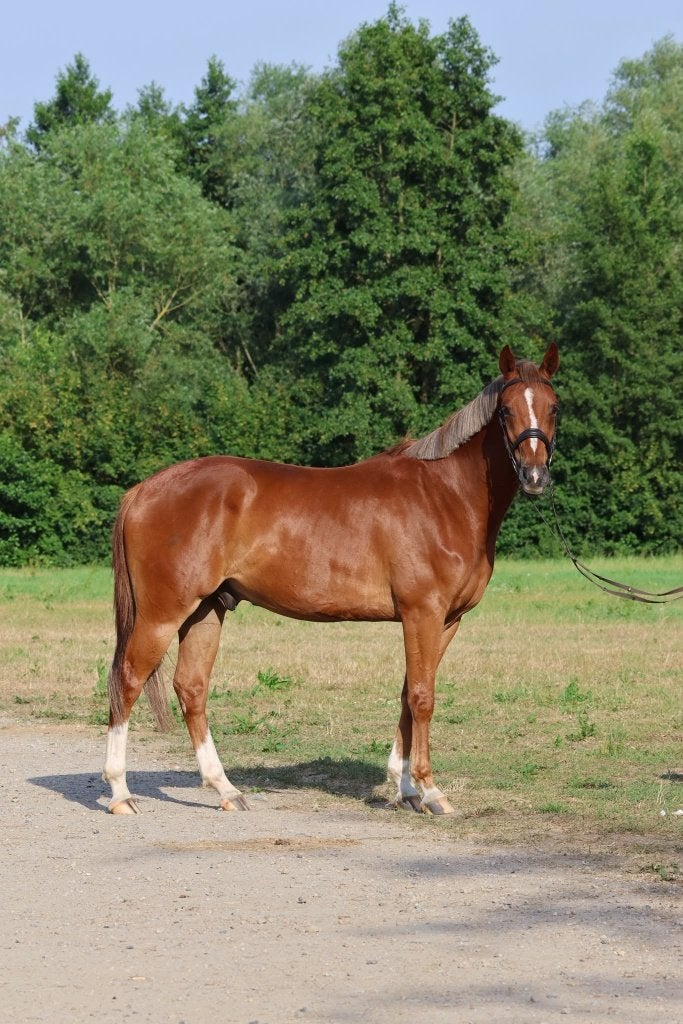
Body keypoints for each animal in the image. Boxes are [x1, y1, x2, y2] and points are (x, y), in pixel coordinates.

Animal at [103, 342, 560, 815]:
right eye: (505, 410)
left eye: (554, 407)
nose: (535, 476)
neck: (444, 496)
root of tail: (141, 490)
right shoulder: (423, 614)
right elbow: (422, 697)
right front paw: (431, 791)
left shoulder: (445, 621)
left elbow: (408, 694)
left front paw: (406, 790)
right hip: (162, 613)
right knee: (127, 680)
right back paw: (120, 792)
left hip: (207, 610)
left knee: (191, 688)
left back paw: (226, 789)